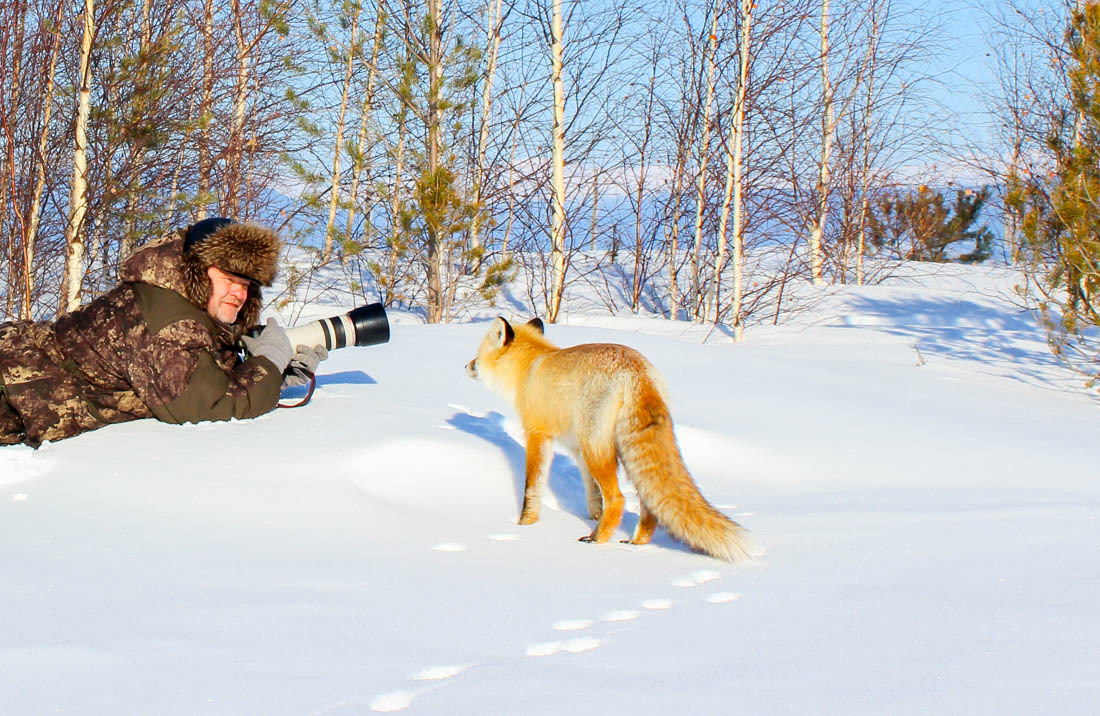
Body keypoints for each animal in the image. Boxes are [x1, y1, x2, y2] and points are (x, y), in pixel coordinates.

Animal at [464, 316, 756, 563]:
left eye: (478, 354)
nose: (466, 366)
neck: (529, 367)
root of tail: (637, 370)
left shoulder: (537, 434)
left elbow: (531, 489)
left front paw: (525, 525)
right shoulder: (576, 449)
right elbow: (593, 496)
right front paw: (593, 519)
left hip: (596, 448)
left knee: (618, 499)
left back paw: (599, 542)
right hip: (606, 448)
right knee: (647, 502)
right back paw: (633, 543)